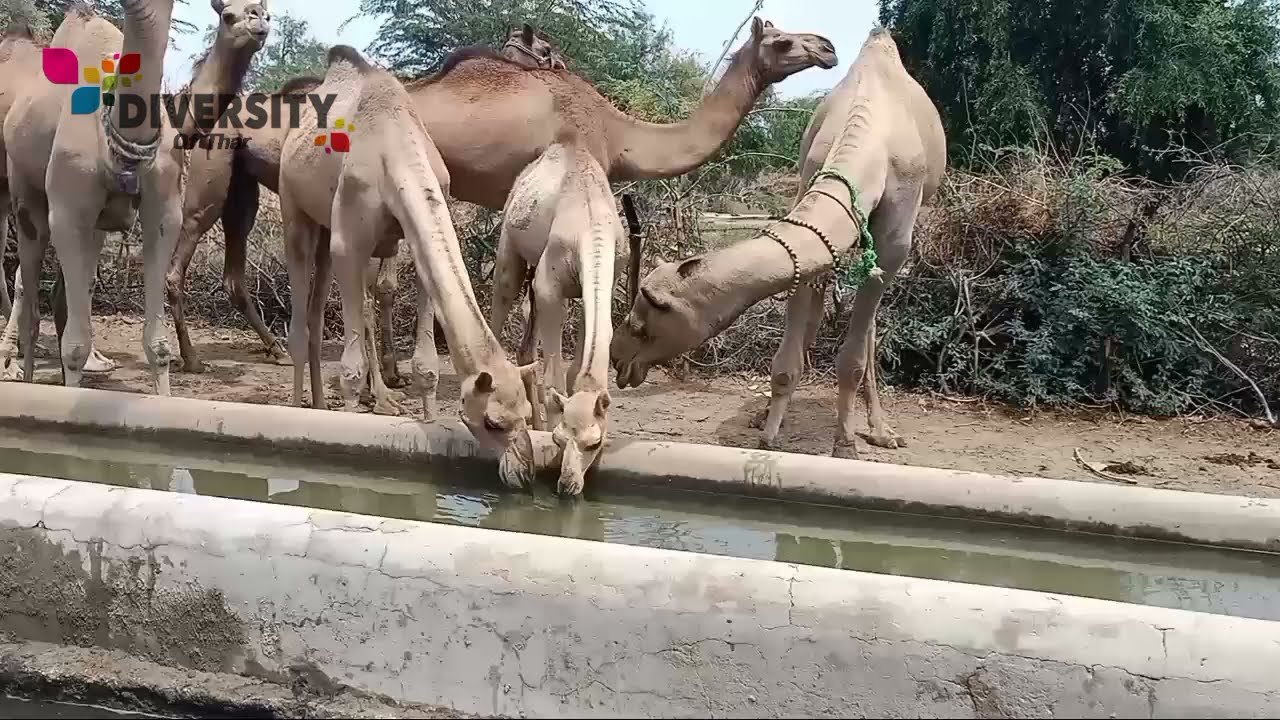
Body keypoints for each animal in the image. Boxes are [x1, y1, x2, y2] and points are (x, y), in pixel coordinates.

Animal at [2, 0, 268, 392]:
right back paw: (21, 372)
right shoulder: (68, 211)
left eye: (263, 13)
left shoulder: (165, 211)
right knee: (31, 302)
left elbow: (157, 345)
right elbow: (74, 347)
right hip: (24, 196)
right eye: (228, 15)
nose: (257, 21)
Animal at [165, 23, 567, 378]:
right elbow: (380, 287)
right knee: (182, 252)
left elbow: (382, 286)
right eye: (545, 49)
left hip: (242, 190)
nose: (562, 66)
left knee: (234, 274)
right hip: (211, 184)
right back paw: (192, 359)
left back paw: (276, 350)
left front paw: (390, 375)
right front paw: (386, 380)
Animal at [275, 45, 538, 474]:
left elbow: (427, 366)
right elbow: (351, 369)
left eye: (527, 414)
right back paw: (297, 409)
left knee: (315, 313)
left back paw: (319, 406)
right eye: (492, 422)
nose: (525, 470)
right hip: (292, 206)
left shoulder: (415, 233)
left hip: (325, 228)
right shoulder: (350, 243)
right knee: (299, 320)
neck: (392, 147)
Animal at [610, 27, 947, 460]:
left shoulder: (894, 241)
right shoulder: (812, 202)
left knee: (870, 327)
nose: (618, 360)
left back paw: (881, 430)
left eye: (641, 324)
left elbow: (853, 355)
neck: (872, 144)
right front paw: (769, 434)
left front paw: (845, 445)